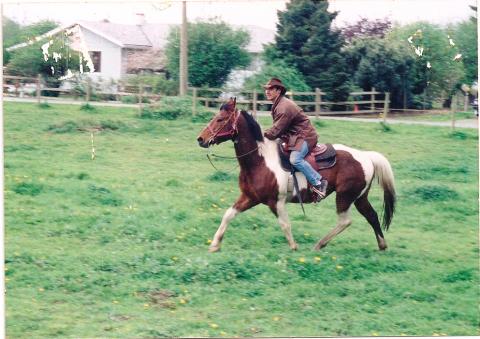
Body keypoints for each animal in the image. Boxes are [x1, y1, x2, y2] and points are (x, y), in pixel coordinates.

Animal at [197, 98, 396, 252]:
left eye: (220, 119)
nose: (201, 139)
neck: (260, 160)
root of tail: (367, 156)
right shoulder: (249, 197)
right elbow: (228, 215)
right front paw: (214, 245)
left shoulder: (276, 202)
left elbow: (285, 224)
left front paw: (293, 247)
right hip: (359, 197)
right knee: (371, 216)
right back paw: (382, 245)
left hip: (345, 196)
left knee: (345, 221)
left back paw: (320, 244)